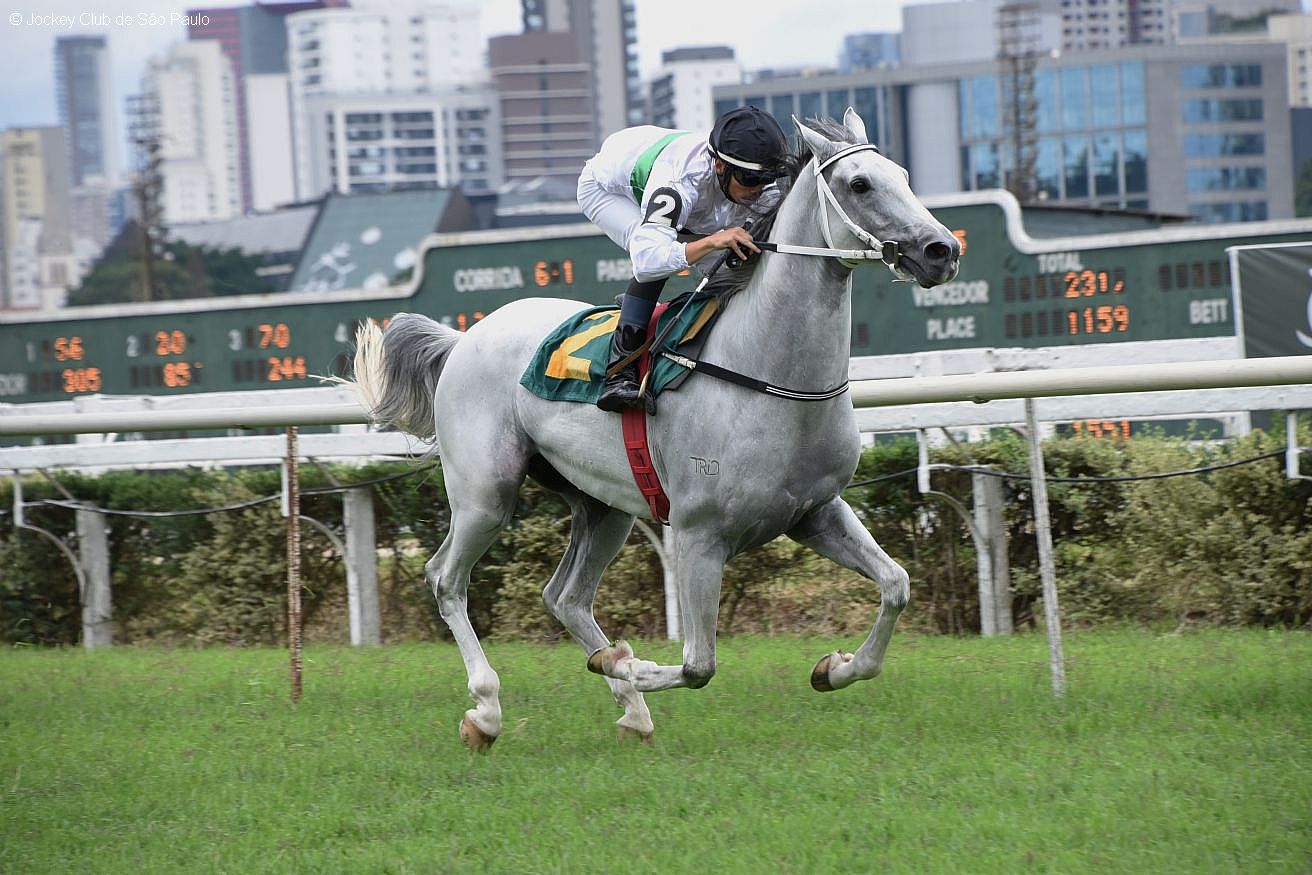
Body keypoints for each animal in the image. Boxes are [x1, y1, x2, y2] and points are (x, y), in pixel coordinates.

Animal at [348, 109, 965, 750]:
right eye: (859, 185)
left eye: (903, 176)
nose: (941, 250)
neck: (769, 374)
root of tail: (463, 337)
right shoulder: (699, 535)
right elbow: (698, 664)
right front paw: (626, 663)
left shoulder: (815, 512)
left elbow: (896, 584)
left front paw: (836, 667)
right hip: (485, 492)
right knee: (446, 579)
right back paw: (489, 711)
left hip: (603, 506)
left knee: (565, 597)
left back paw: (633, 711)